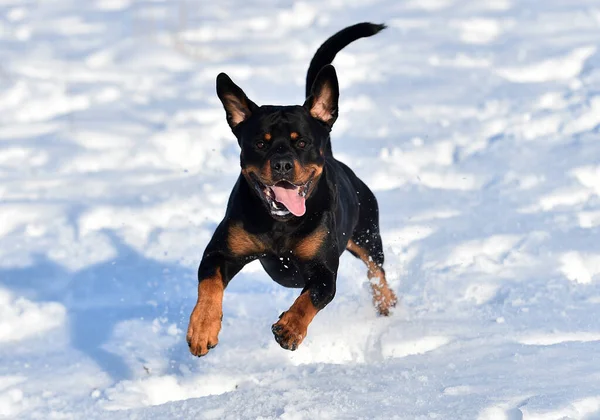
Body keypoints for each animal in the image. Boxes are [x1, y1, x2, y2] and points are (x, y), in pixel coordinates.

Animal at [185, 23, 396, 356]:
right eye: (260, 143)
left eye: (302, 142)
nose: (282, 164)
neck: (281, 225)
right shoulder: (220, 252)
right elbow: (209, 284)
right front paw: (202, 328)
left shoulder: (324, 270)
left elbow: (312, 297)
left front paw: (290, 329)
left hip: (367, 231)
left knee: (377, 269)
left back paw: (386, 302)